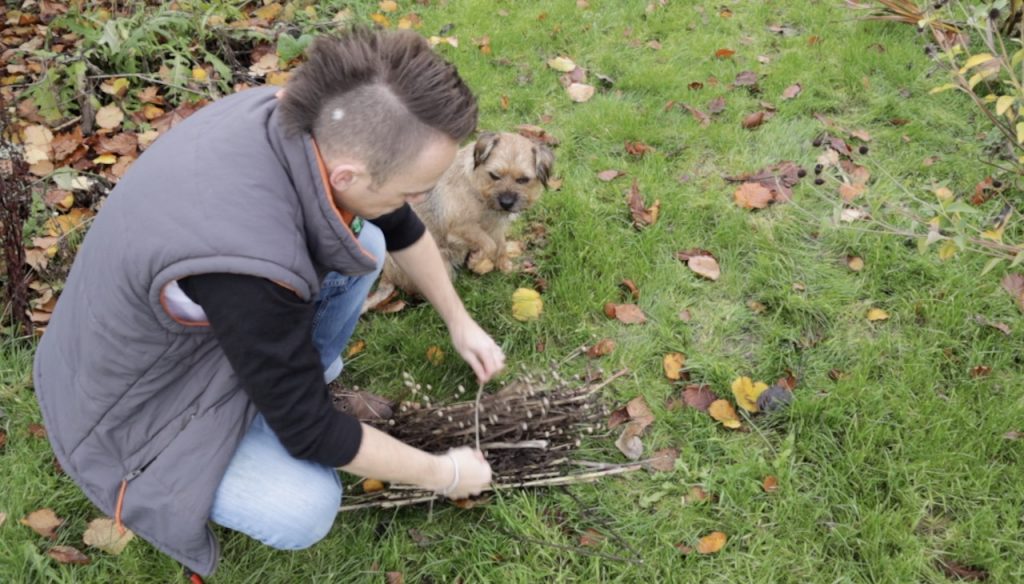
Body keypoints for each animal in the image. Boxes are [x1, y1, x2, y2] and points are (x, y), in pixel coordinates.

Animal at [380, 132, 552, 295]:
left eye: (523, 180)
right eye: (494, 175)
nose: (507, 202)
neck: (478, 191)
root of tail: (386, 276)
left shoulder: (497, 228)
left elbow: (501, 247)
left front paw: (506, 267)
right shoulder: (460, 228)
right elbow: (489, 244)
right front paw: (476, 260)